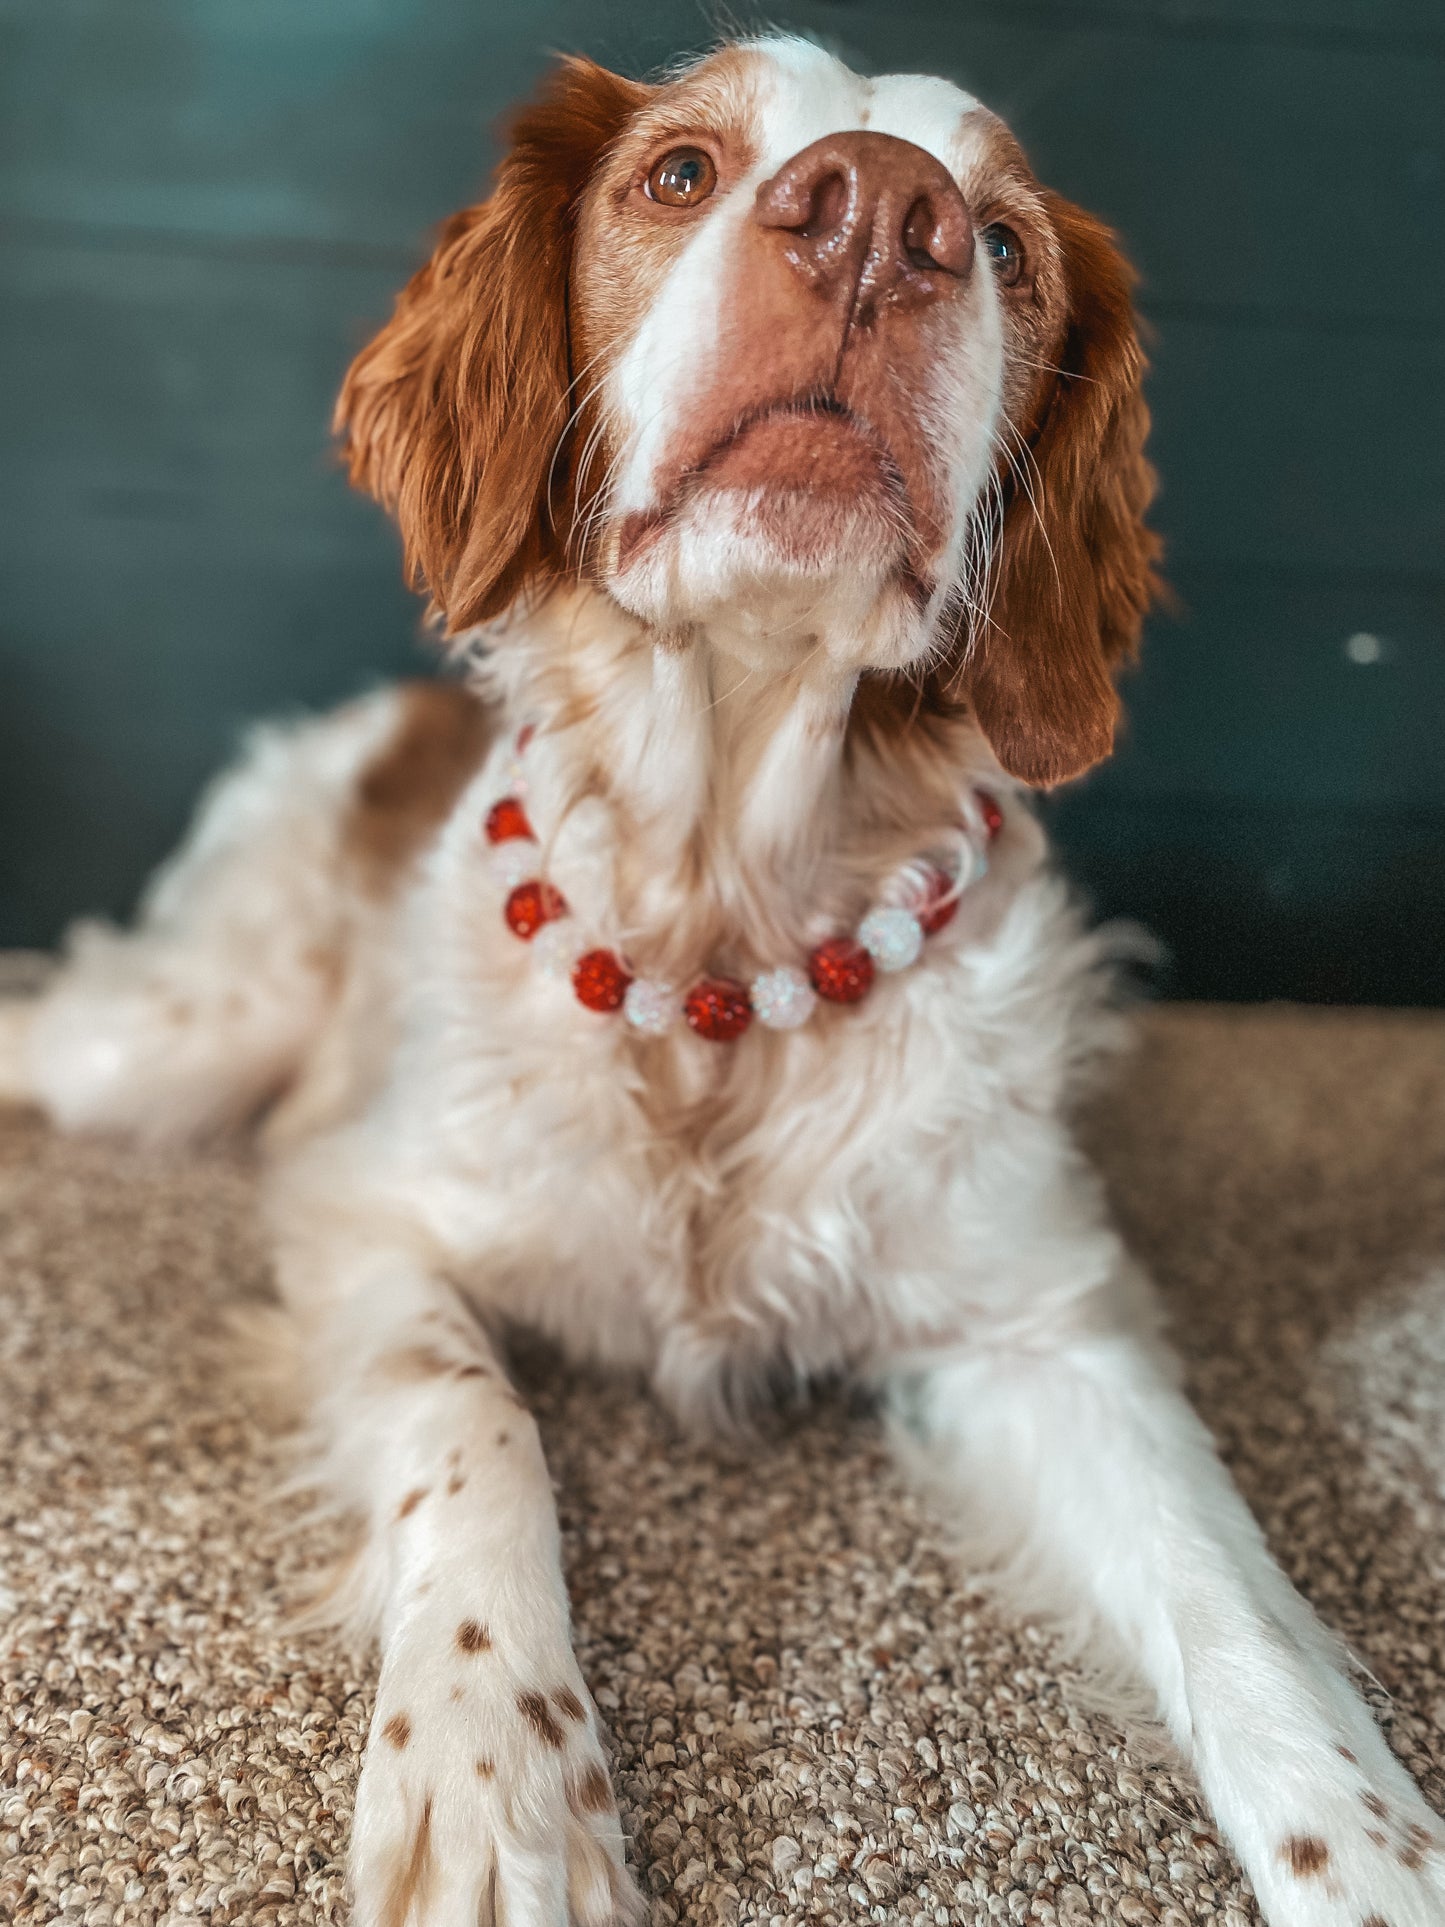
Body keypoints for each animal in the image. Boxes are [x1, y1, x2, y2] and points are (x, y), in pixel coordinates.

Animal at [2, 37, 1445, 1927]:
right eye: (680, 171)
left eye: (1002, 239)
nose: (882, 219)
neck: (723, 958)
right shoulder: (362, 1211)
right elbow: (481, 1428)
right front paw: (495, 1778)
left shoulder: (1046, 1324)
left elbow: (1244, 1597)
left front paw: (1377, 1853)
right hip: (177, 1035)